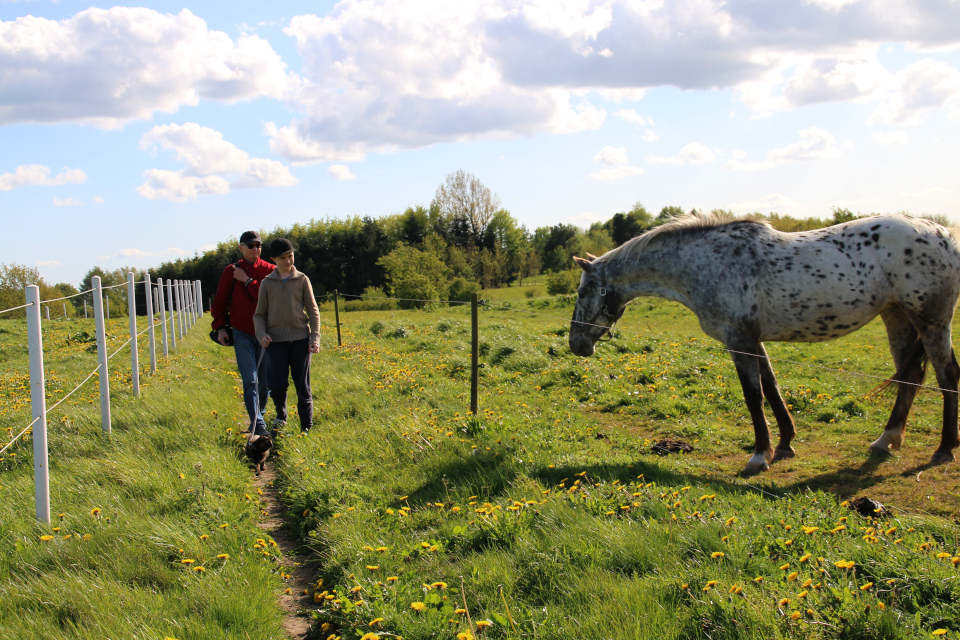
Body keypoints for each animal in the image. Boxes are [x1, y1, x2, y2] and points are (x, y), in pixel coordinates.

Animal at [568, 211, 960, 476]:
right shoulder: (753, 340)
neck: (705, 264)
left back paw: (944, 449)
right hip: (898, 318)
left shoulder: (738, 339)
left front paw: (760, 456)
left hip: (932, 322)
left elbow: (753, 396)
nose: (575, 344)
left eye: (584, 291)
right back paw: (887, 439)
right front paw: (785, 443)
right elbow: (772, 387)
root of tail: (945, 233)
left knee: (947, 377)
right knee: (911, 379)